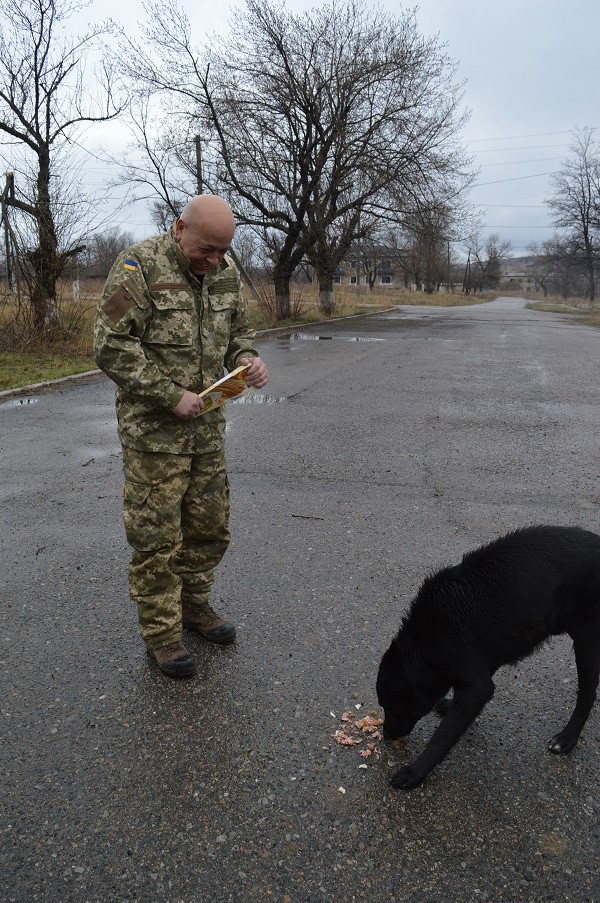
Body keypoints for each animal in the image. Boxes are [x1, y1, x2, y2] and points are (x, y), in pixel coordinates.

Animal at [376, 525, 600, 789]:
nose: (386, 735)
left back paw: (567, 738)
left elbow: (440, 738)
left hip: (586, 641)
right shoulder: (481, 666)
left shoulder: (474, 684)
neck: (426, 639)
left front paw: (415, 772)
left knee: (587, 695)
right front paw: (450, 704)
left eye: (391, 706)